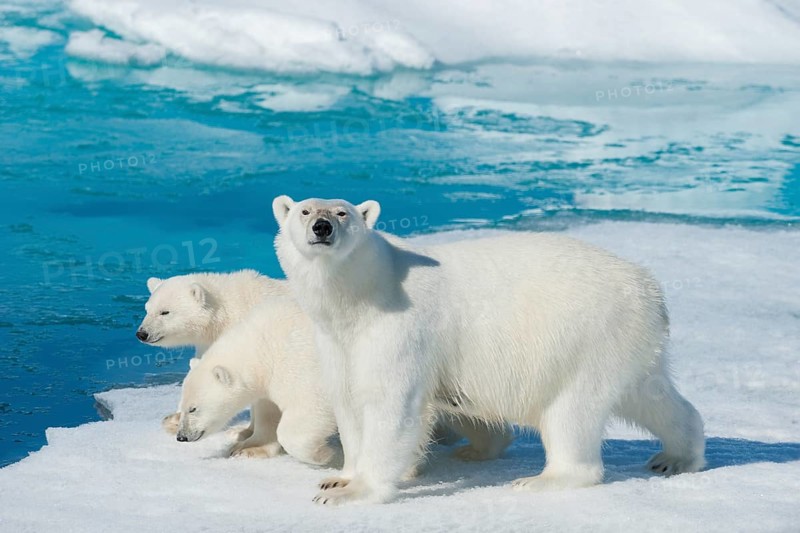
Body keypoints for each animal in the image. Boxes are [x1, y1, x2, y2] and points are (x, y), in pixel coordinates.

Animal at [137, 270, 285, 438]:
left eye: (165, 312)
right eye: (147, 310)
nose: (142, 333)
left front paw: (244, 430)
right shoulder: (209, 343)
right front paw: (174, 419)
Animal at [175, 295, 340, 465]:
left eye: (193, 408)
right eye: (182, 406)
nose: (182, 436)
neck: (266, 346)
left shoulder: (302, 366)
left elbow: (312, 406)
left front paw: (324, 454)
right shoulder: (267, 380)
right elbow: (268, 412)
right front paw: (246, 449)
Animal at [272, 195, 706, 506]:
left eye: (343, 212)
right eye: (305, 210)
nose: (322, 227)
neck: (361, 294)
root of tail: (650, 290)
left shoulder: (400, 329)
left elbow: (390, 404)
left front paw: (352, 492)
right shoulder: (339, 341)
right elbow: (347, 401)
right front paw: (337, 477)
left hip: (586, 338)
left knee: (572, 409)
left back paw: (541, 479)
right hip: (630, 342)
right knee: (650, 395)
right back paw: (677, 455)